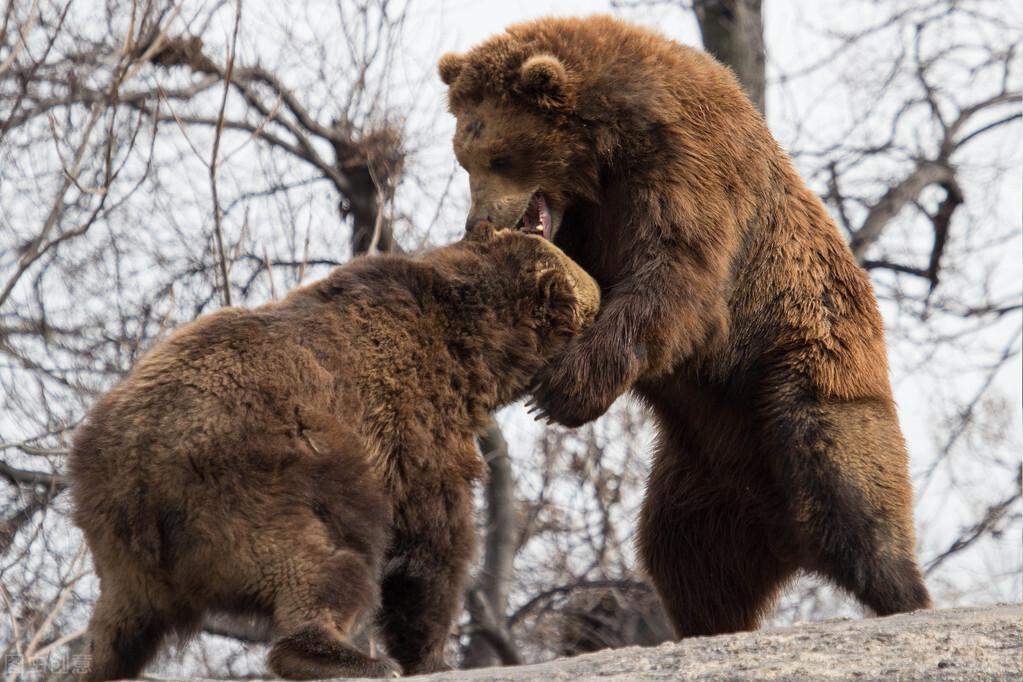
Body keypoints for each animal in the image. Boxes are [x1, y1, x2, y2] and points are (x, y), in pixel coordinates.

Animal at [68, 224, 597, 682]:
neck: (474, 349)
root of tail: (136, 472)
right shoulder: (412, 419)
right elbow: (433, 541)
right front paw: (432, 656)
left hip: (118, 548)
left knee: (114, 628)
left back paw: (91, 665)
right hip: (254, 480)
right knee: (327, 561)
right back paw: (342, 656)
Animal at [435, 14, 932, 642]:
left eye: (500, 156)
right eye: (464, 156)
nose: (476, 222)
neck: (603, 156)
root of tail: (780, 531)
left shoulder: (687, 164)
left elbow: (674, 272)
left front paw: (562, 391)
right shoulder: (598, 221)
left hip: (799, 376)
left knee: (851, 489)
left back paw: (904, 592)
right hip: (699, 471)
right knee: (686, 556)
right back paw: (707, 621)